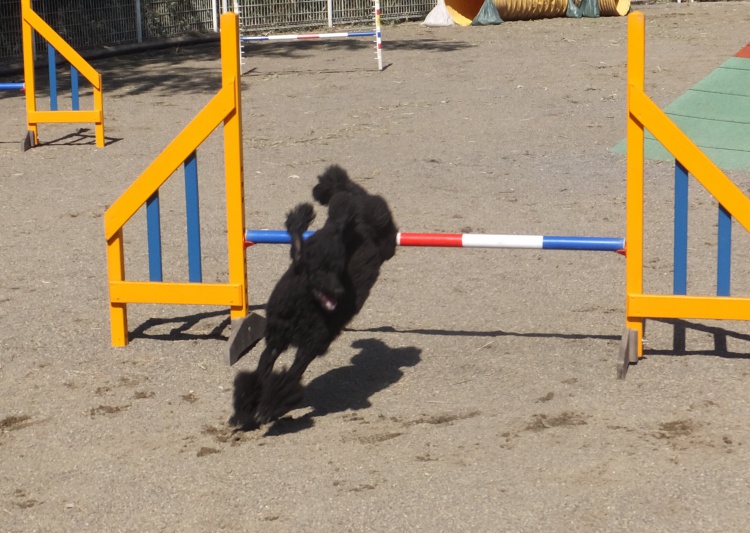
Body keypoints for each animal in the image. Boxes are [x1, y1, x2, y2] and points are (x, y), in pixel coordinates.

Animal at [230, 165, 398, 428]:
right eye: (319, 269)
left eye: (338, 268)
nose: (340, 292)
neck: (304, 307)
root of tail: (353, 192)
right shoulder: (276, 340)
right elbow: (260, 372)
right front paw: (246, 410)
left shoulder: (311, 344)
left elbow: (289, 378)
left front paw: (268, 407)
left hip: (383, 232)